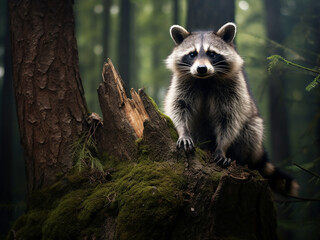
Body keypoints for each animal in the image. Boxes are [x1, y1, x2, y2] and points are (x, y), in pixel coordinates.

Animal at [164, 21, 298, 196]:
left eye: (212, 54)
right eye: (192, 54)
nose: (201, 68)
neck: (206, 79)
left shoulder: (234, 87)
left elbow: (229, 118)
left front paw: (222, 147)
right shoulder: (181, 83)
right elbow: (178, 107)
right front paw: (183, 131)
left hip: (253, 132)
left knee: (252, 128)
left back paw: (239, 158)